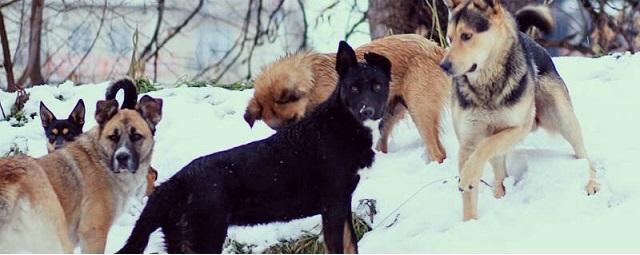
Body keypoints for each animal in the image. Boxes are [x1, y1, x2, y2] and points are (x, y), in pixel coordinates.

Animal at [117, 41, 392, 253]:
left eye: (378, 86)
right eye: (353, 88)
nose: (367, 111)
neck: (340, 126)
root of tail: (173, 185)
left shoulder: (343, 203)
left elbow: (351, 245)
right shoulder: (333, 205)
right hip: (205, 239)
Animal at [245, 33, 450, 163]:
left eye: (293, 120)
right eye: (276, 129)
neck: (314, 82)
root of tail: (435, 48)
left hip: (419, 111)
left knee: (439, 152)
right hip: (389, 113)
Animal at [440, 0, 600, 220]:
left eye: (466, 36)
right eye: (450, 38)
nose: (443, 66)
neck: (487, 85)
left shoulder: (518, 127)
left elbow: (487, 145)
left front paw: (468, 176)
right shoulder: (468, 140)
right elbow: (471, 186)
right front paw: (469, 222)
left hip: (562, 117)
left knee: (584, 156)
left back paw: (591, 182)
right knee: (500, 173)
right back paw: (499, 195)